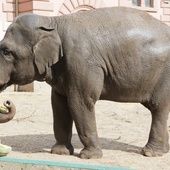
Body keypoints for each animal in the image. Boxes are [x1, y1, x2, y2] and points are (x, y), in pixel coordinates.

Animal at [0, 5, 170, 159]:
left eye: (6, 52)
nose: (7, 102)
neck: (53, 22)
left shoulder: (82, 61)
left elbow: (80, 102)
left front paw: (89, 156)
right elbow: (59, 104)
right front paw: (59, 152)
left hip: (164, 76)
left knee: (159, 108)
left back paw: (150, 153)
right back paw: (164, 150)